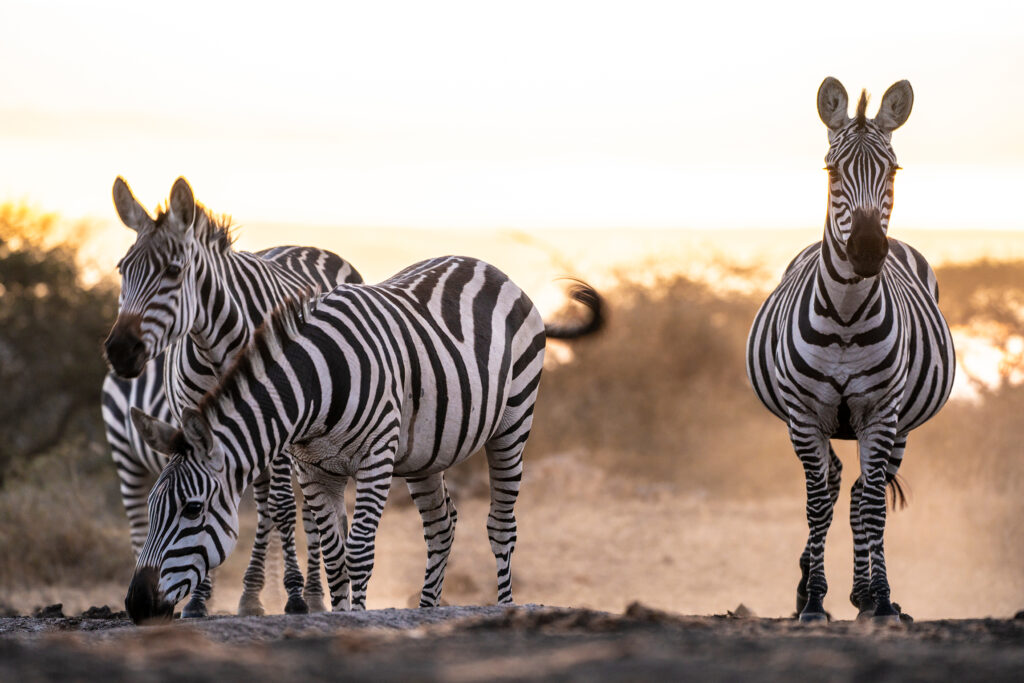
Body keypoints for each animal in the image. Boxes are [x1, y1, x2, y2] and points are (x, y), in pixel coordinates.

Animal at [102, 177, 363, 617]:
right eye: (122, 269)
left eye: (174, 271)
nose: (120, 350)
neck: (213, 346)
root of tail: (308, 246)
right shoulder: (195, 422)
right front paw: (197, 601)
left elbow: (283, 507)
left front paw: (295, 596)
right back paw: (251, 594)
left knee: (302, 512)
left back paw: (310, 593)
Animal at [123, 256, 602, 623]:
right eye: (152, 506)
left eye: (192, 509)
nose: (136, 605)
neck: (314, 387)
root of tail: (490, 268)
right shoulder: (312, 468)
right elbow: (335, 556)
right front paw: (337, 617)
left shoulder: (376, 457)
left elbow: (358, 551)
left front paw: (356, 617)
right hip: (425, 451)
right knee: (442, 524)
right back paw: (427, 610)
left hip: (513, 423)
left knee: (501, 525)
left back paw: (505, 607)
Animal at [746, 77, 955, 623]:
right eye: (831, 170)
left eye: (893, 170)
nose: (865, 251)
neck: (844, 317)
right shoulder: (803, 415)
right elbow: (818, 503)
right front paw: (814, 600)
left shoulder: (881, 412)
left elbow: (873, 507)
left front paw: (878, 600)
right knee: (837, 484)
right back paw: (810, 586)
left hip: (899, 426)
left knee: (863, 491)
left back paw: (867, 594)